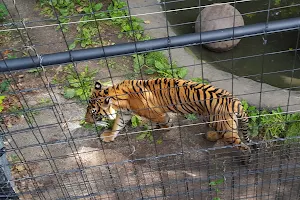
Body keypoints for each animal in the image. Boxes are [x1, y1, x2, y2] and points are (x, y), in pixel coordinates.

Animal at [84, 78, 253, 156]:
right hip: (213, 118)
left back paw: (247, 159)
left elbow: (164, 120)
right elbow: (117, 125)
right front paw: (109, 136)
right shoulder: (125, 114)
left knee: (243, 145)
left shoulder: (156, 113)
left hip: (227, 129)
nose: (85, 120)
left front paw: (166, 127)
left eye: (93, 112)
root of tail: (235, 101)